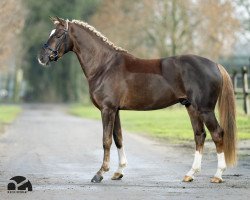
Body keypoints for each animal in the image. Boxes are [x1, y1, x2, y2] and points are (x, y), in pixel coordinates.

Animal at [37, 16, 236, 183]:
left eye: (59, 35)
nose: (42, 58)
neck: (105, 66)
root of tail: (215, 65)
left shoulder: (107, 109)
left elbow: (106, 140)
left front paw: (100, 173)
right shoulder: (115, 110)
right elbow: (118, 138)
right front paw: (118, 172)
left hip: (205, 109)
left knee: (217, 134)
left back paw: (218, 175)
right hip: (191, 107)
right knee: (199, 135)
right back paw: (190, 174)